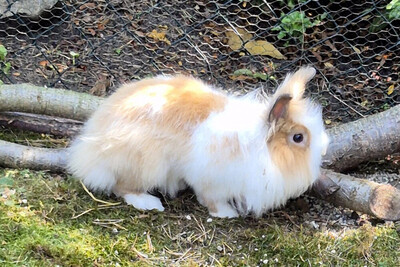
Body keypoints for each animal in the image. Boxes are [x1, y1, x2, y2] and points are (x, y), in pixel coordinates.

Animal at [69, 66, 330, 218]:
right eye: (298, 138)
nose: (324, 150)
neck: (262, 147)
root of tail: (89, 150)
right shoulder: (212, 180)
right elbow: (210, 200)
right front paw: (227, 213)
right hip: (144, 165)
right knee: (121, 186)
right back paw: (149, 203)